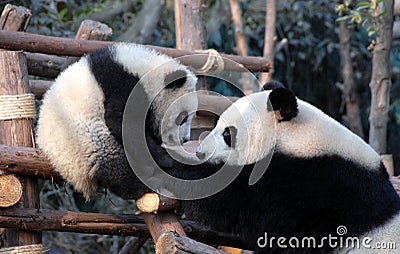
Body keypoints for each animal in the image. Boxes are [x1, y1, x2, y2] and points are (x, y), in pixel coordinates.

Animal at [37, 44, 198, 202]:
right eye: (183, 118)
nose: (185, 139)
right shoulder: (120, 83)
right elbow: (122, 124)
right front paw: (166, 158)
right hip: (82, 137)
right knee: (114, 162)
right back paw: (142, 186)